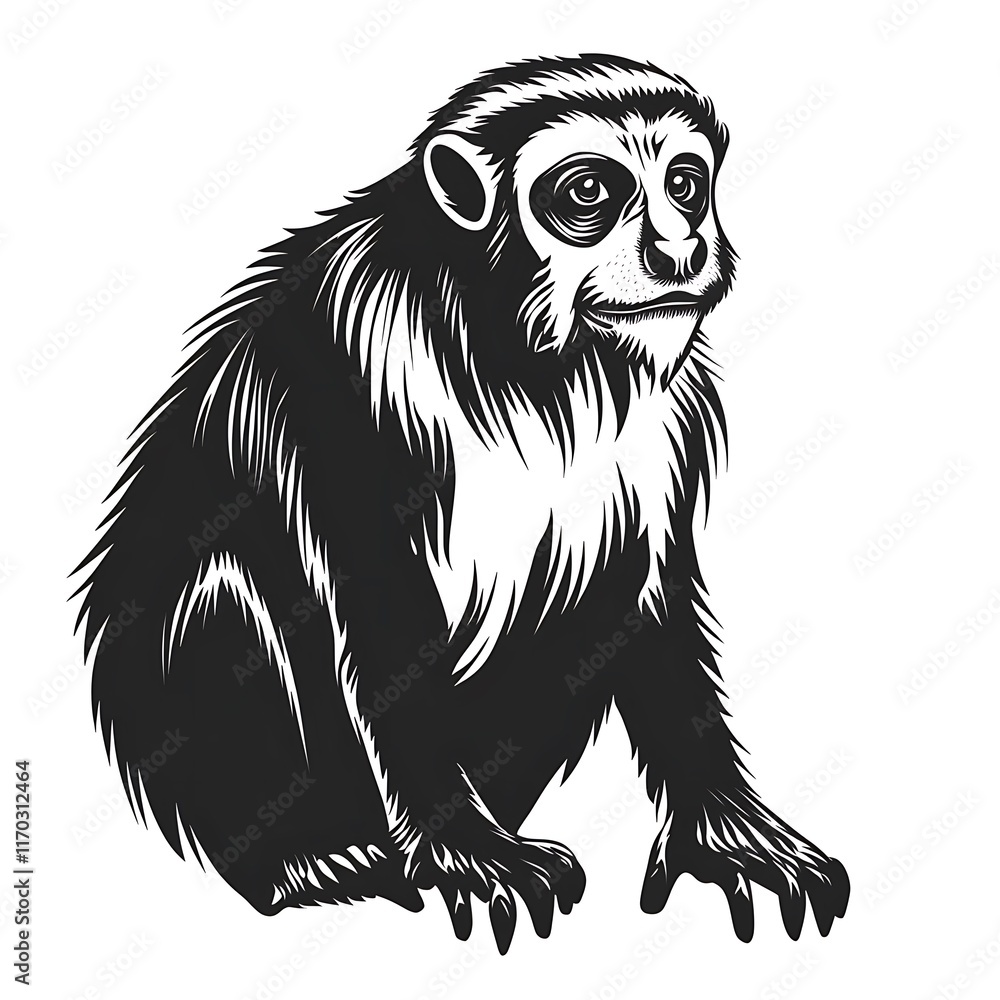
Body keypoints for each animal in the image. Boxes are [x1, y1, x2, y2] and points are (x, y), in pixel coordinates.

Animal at [74, 54, 849, 954]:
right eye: (590, 191)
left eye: (684, 185)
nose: (677, 244)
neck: (525, 353)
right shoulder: (346, 365)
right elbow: (379, 603)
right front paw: (465, 847)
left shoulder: (670, 413)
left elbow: (653, 594)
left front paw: (726, 829)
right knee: (222, 594)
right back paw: (305, 858)